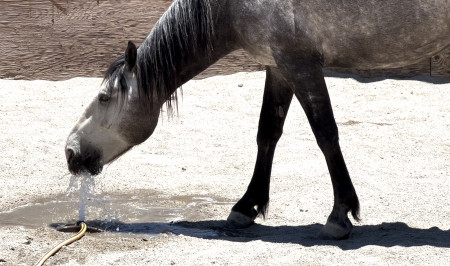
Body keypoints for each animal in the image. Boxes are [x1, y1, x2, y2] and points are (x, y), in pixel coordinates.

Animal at [64, 0, 450, 240]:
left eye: (104, 98)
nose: (70, 151)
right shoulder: (278, 67)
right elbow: (268, 133)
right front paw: (246, 207)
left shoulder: (301, 66)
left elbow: (325, 134)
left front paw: (339, 215)